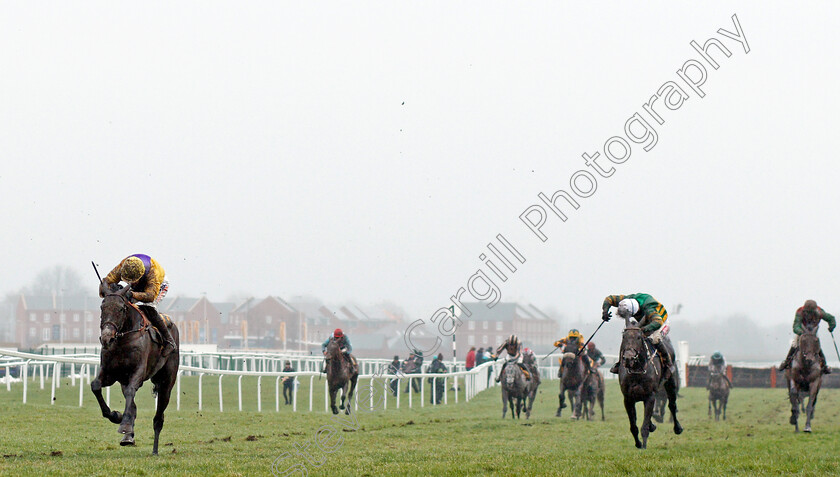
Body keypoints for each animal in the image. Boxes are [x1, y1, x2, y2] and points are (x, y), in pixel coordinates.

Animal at [89, 282, 180, 454]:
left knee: (158, 417)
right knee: (132, 405)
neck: (123, 340)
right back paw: (128, 437)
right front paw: (116, 416)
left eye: (121, 309)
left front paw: (124, 425)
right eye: (102, 307)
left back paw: (154, 450)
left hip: (167, 383)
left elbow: (132, 391)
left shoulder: (138, 372)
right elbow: (96, 385)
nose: (106, 338)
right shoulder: (110, 373)